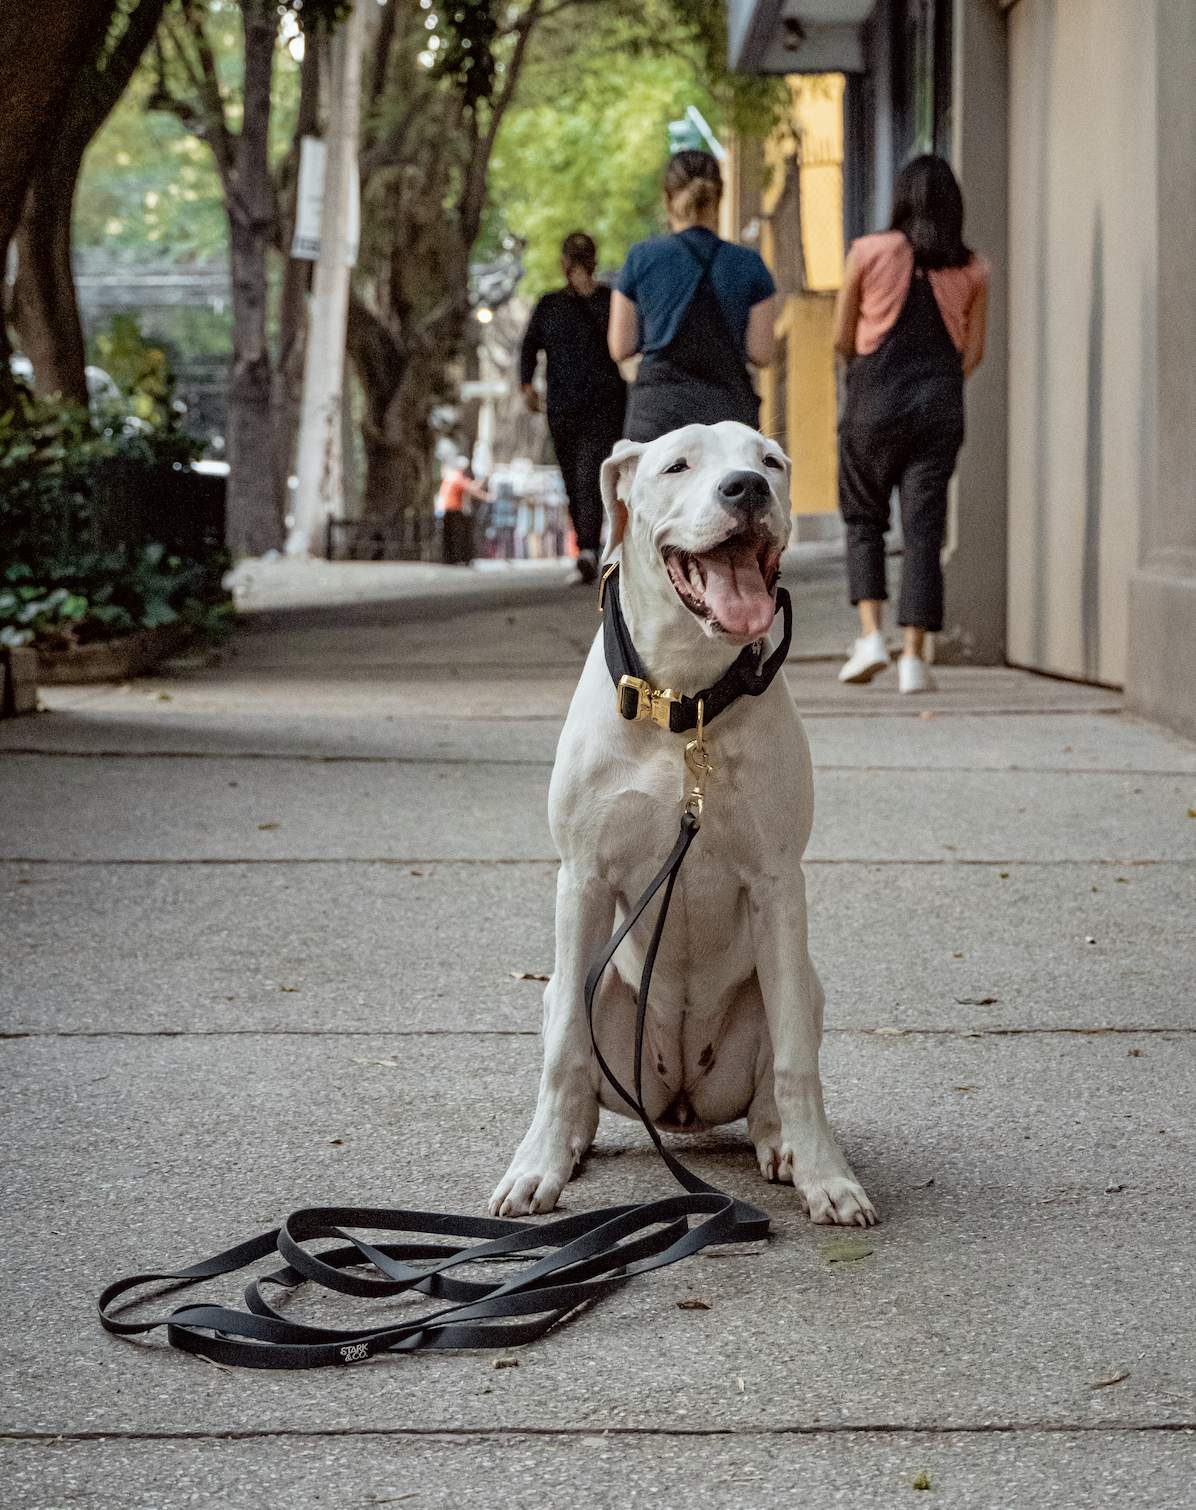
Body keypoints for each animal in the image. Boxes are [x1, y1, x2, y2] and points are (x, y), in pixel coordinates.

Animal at [489, 422, 875, 1226]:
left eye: (771, 462)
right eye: (676, 466)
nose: (747, 489)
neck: (686, 698)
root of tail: (681, 1102)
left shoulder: (777, 882)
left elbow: (797, 1060)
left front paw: (828, 1175)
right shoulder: (583, 878)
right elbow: (564, 1050)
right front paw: (537, 1165)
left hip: (798, 979)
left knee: (777, 1066)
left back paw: (783, 1145)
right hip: (580, 983)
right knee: (574, 1045)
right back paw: (568, 1141)